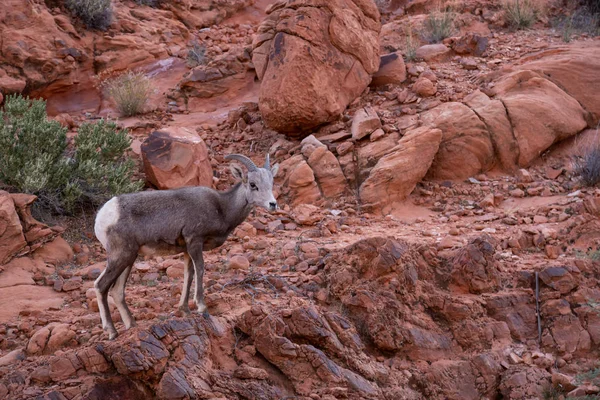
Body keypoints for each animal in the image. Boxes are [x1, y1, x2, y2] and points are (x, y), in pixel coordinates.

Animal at [93, 153, 278, 338]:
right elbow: (200, 270)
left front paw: (184, 310)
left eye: (271, 183)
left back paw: (132, 325)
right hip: (121, 255)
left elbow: (188, 275)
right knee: (101, 285)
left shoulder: (187, 250)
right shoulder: (195, 241)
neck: (222, 208)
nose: (273, 204)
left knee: (117, 291)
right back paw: (112, 332)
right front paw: (202, 307)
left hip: (129, 258)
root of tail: (103, 216)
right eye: (253, 184)